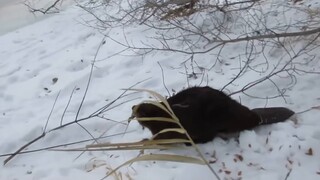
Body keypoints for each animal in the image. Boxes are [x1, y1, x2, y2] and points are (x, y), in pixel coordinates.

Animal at [129, 86, 294, 144]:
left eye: (141, 110)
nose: (133, 107)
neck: (164, 113)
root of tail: (255, 117)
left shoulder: (169, 128)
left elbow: (162, 138)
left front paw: (144, 141)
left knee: (209, 136)